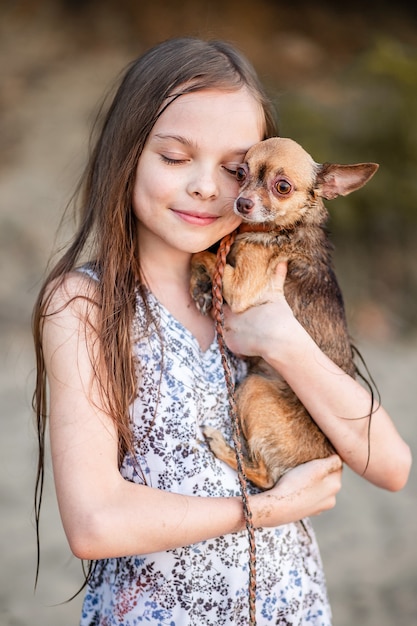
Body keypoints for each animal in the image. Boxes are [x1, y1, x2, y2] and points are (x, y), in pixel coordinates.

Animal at [190, 135, 378, 488]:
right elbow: (208, 254)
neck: (287, 225)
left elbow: (201, 253)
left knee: (264, 477)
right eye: (240, 173)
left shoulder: (241, 287)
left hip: (254, 388)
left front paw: (199, 279)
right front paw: (200, 287)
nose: (242, 203)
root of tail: (326, 454)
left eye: (282, 187)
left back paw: (221, 445)